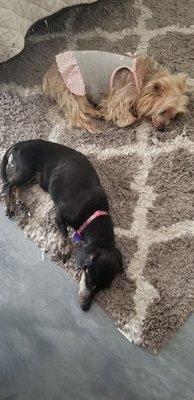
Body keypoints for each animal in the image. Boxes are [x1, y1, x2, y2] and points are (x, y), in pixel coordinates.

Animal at [0, 139, 123, 310]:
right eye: (90, 280)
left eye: (103, 289)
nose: (85, 308)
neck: (93, 214)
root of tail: (22, 143)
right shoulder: (59, 214)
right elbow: (64, 233)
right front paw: (65, 250)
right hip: (26, 170)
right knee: (9, 185)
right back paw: (11, 205)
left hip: (31, 176)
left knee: (14, 186)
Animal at [42, 50, 189, 133]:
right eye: (163, 111)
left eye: (173, 116)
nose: (162, 129)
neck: (146, 78)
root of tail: (49, 72)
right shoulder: (121, 95)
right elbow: (126, 118)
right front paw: (130, 117)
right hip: (72, 85)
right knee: (75, 112)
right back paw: (92, 126)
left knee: (83, 105)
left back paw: (96, 112)